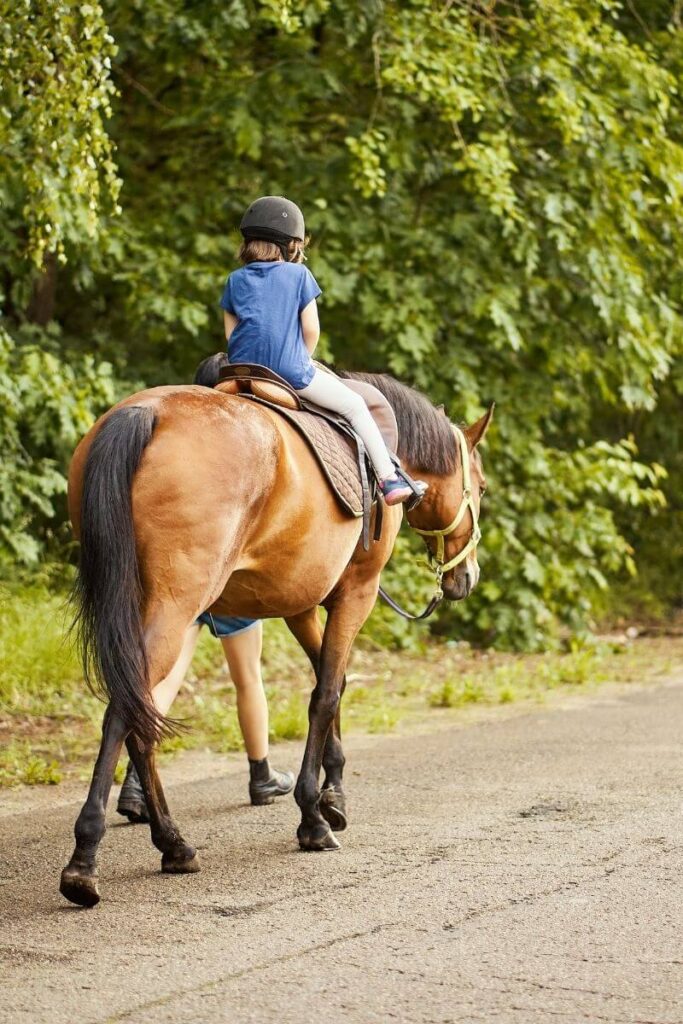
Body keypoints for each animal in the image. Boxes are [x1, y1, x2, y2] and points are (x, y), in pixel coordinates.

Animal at [60, 367, 492, 907]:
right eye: (481, 488)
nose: (467, 577)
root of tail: (144, 414)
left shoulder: (301, 604)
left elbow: (334, 681)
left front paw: (333, 794)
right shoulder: (356, 592)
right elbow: (325, 695)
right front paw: (313, 816)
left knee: (142, 716)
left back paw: (172, 843)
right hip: (176, 608)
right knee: (127, 711)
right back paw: (85, 861)